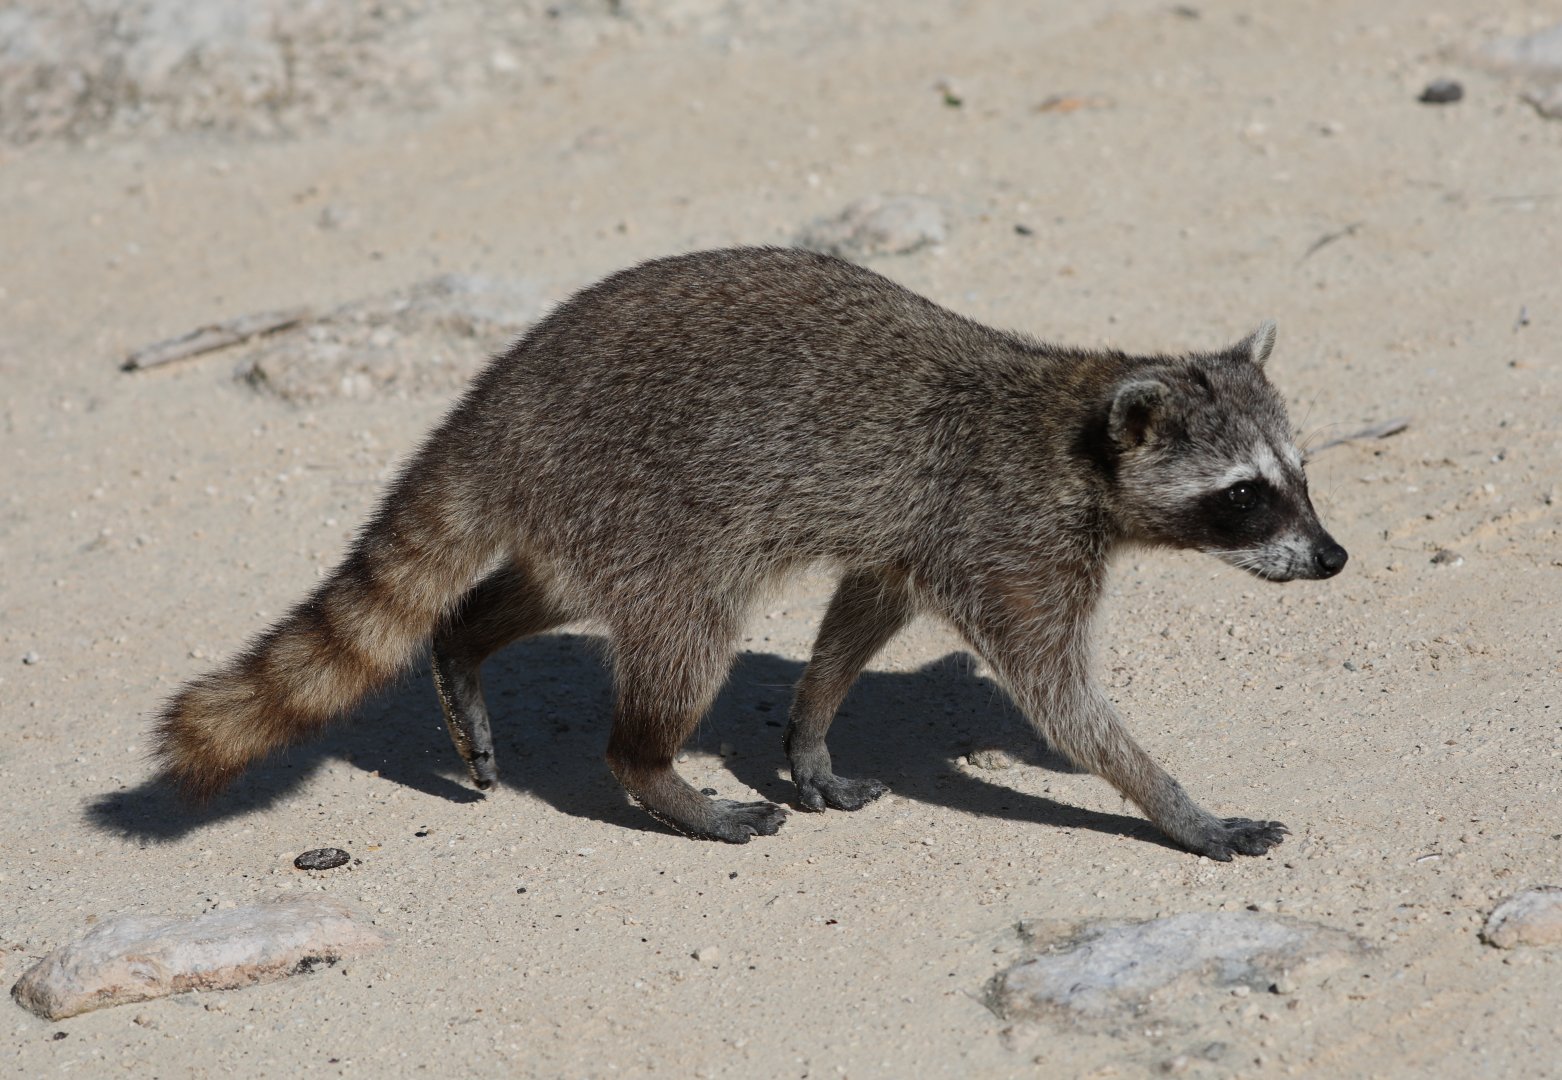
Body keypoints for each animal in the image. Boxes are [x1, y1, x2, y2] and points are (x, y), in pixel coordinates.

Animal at [156, 247, 1346, 860]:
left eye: (1300, 473)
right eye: (1244, 497)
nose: (1333, 559)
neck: (1079, 426)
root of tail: (498, 402)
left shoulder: (916, 539)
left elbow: (858, 617)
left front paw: (810, 728)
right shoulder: (1009, 535)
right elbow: (1062, 703)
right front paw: (1173, 803)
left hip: (591, 523)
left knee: (532, 595)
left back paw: (465, 644)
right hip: (652, 510)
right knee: (682, 648)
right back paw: (655, 773)